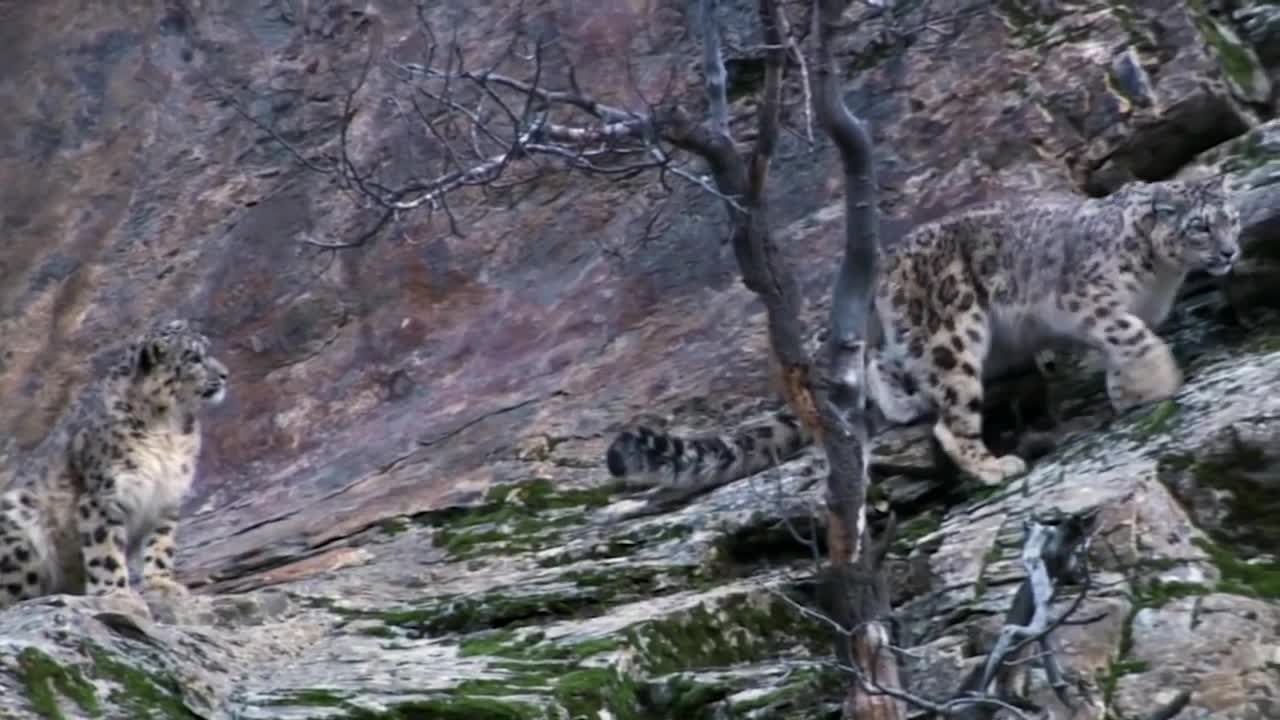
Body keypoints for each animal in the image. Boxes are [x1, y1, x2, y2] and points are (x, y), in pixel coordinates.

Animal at [0, 317, 226, 604]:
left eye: (208, 348)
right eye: (194, 357)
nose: (224, 375)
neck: (169, 428)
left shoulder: (167, 495)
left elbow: (160, 544)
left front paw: (161, 584)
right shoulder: (104, 497)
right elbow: (105, 550)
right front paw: (116, 594)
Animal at [609, 175, 1239, 491]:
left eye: (1231, 218)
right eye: (1201, 226)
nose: (1232, 252)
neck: (1161, 277)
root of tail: (886, 263)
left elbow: (1123, 344)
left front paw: (1127, 390)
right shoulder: (1087, 298)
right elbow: (1129, 334)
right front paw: (1157, 382)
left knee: (883, 364)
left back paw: (904, 403)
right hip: (952, 331)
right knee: (950, 416)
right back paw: (991, 465)